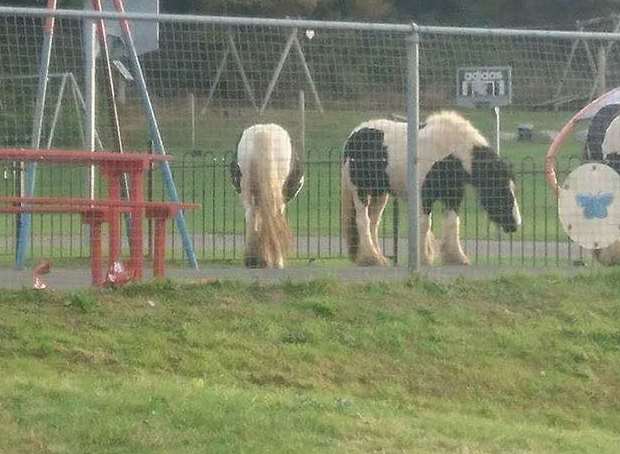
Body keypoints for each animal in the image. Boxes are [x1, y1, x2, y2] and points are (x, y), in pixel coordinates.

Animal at [229, 122, 304, 268]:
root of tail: (262, 134)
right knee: (271, 214)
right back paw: (275, 260)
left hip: (247, 190)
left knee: (251, 214)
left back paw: (252, 259)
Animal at [342, 110, 520, 266]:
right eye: (501, 190)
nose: (516, 224)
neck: (447, 152)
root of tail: (353, 135)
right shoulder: (423, 196)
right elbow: (425, 224)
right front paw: (424, 259)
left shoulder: (452, 195)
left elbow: (452, 222)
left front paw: (456, 258)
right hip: (360, 191)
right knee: (363, 220)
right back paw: (370, 259)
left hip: (379, 194)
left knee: (374, 222)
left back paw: (378, 258)